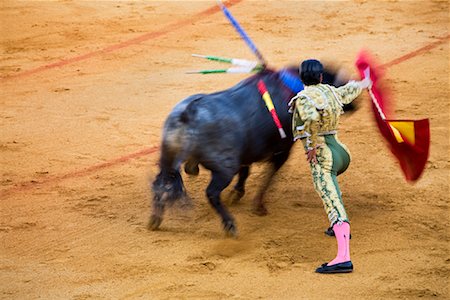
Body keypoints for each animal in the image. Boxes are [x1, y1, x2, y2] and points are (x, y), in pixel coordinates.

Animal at [149, 65, 350, 237]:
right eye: (335, 81)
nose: (353, 104)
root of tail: (188, 113)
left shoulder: (246, 154)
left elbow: (245, 171)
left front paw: (237, 194)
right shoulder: (281, 152)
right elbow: (268, 176)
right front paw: (258, 206)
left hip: (168, 158)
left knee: (161, 183)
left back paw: (155, 220)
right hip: (224, 169)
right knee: (212, 193)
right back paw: (230, 225)